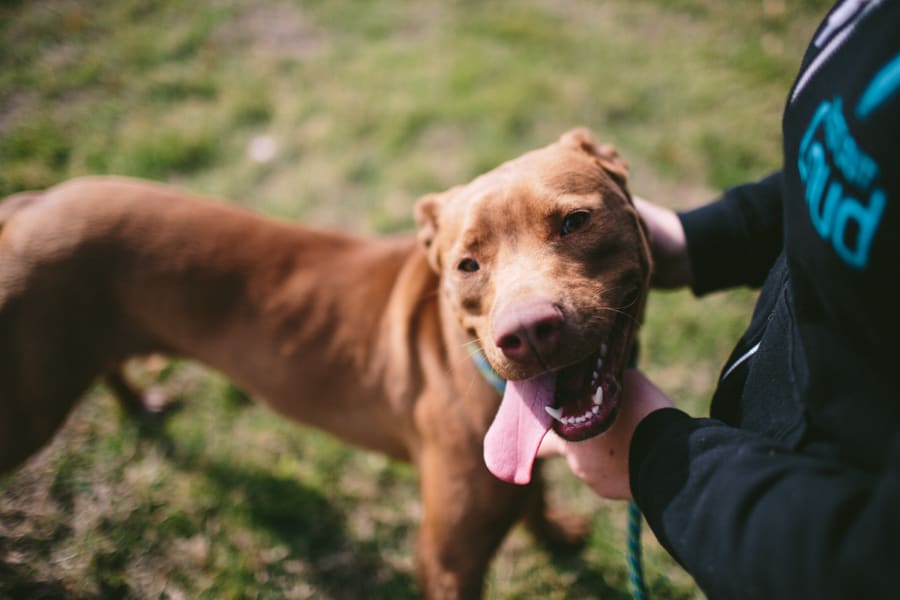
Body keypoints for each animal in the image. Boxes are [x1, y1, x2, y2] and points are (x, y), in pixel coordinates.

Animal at [0, 129, 648, 596]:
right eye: (467, 266)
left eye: (575, 222)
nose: (528, 333)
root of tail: (32, 202)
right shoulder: (446, 562)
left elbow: (534, 499)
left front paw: (556, 536)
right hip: (29, 408)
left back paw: (141, 404)